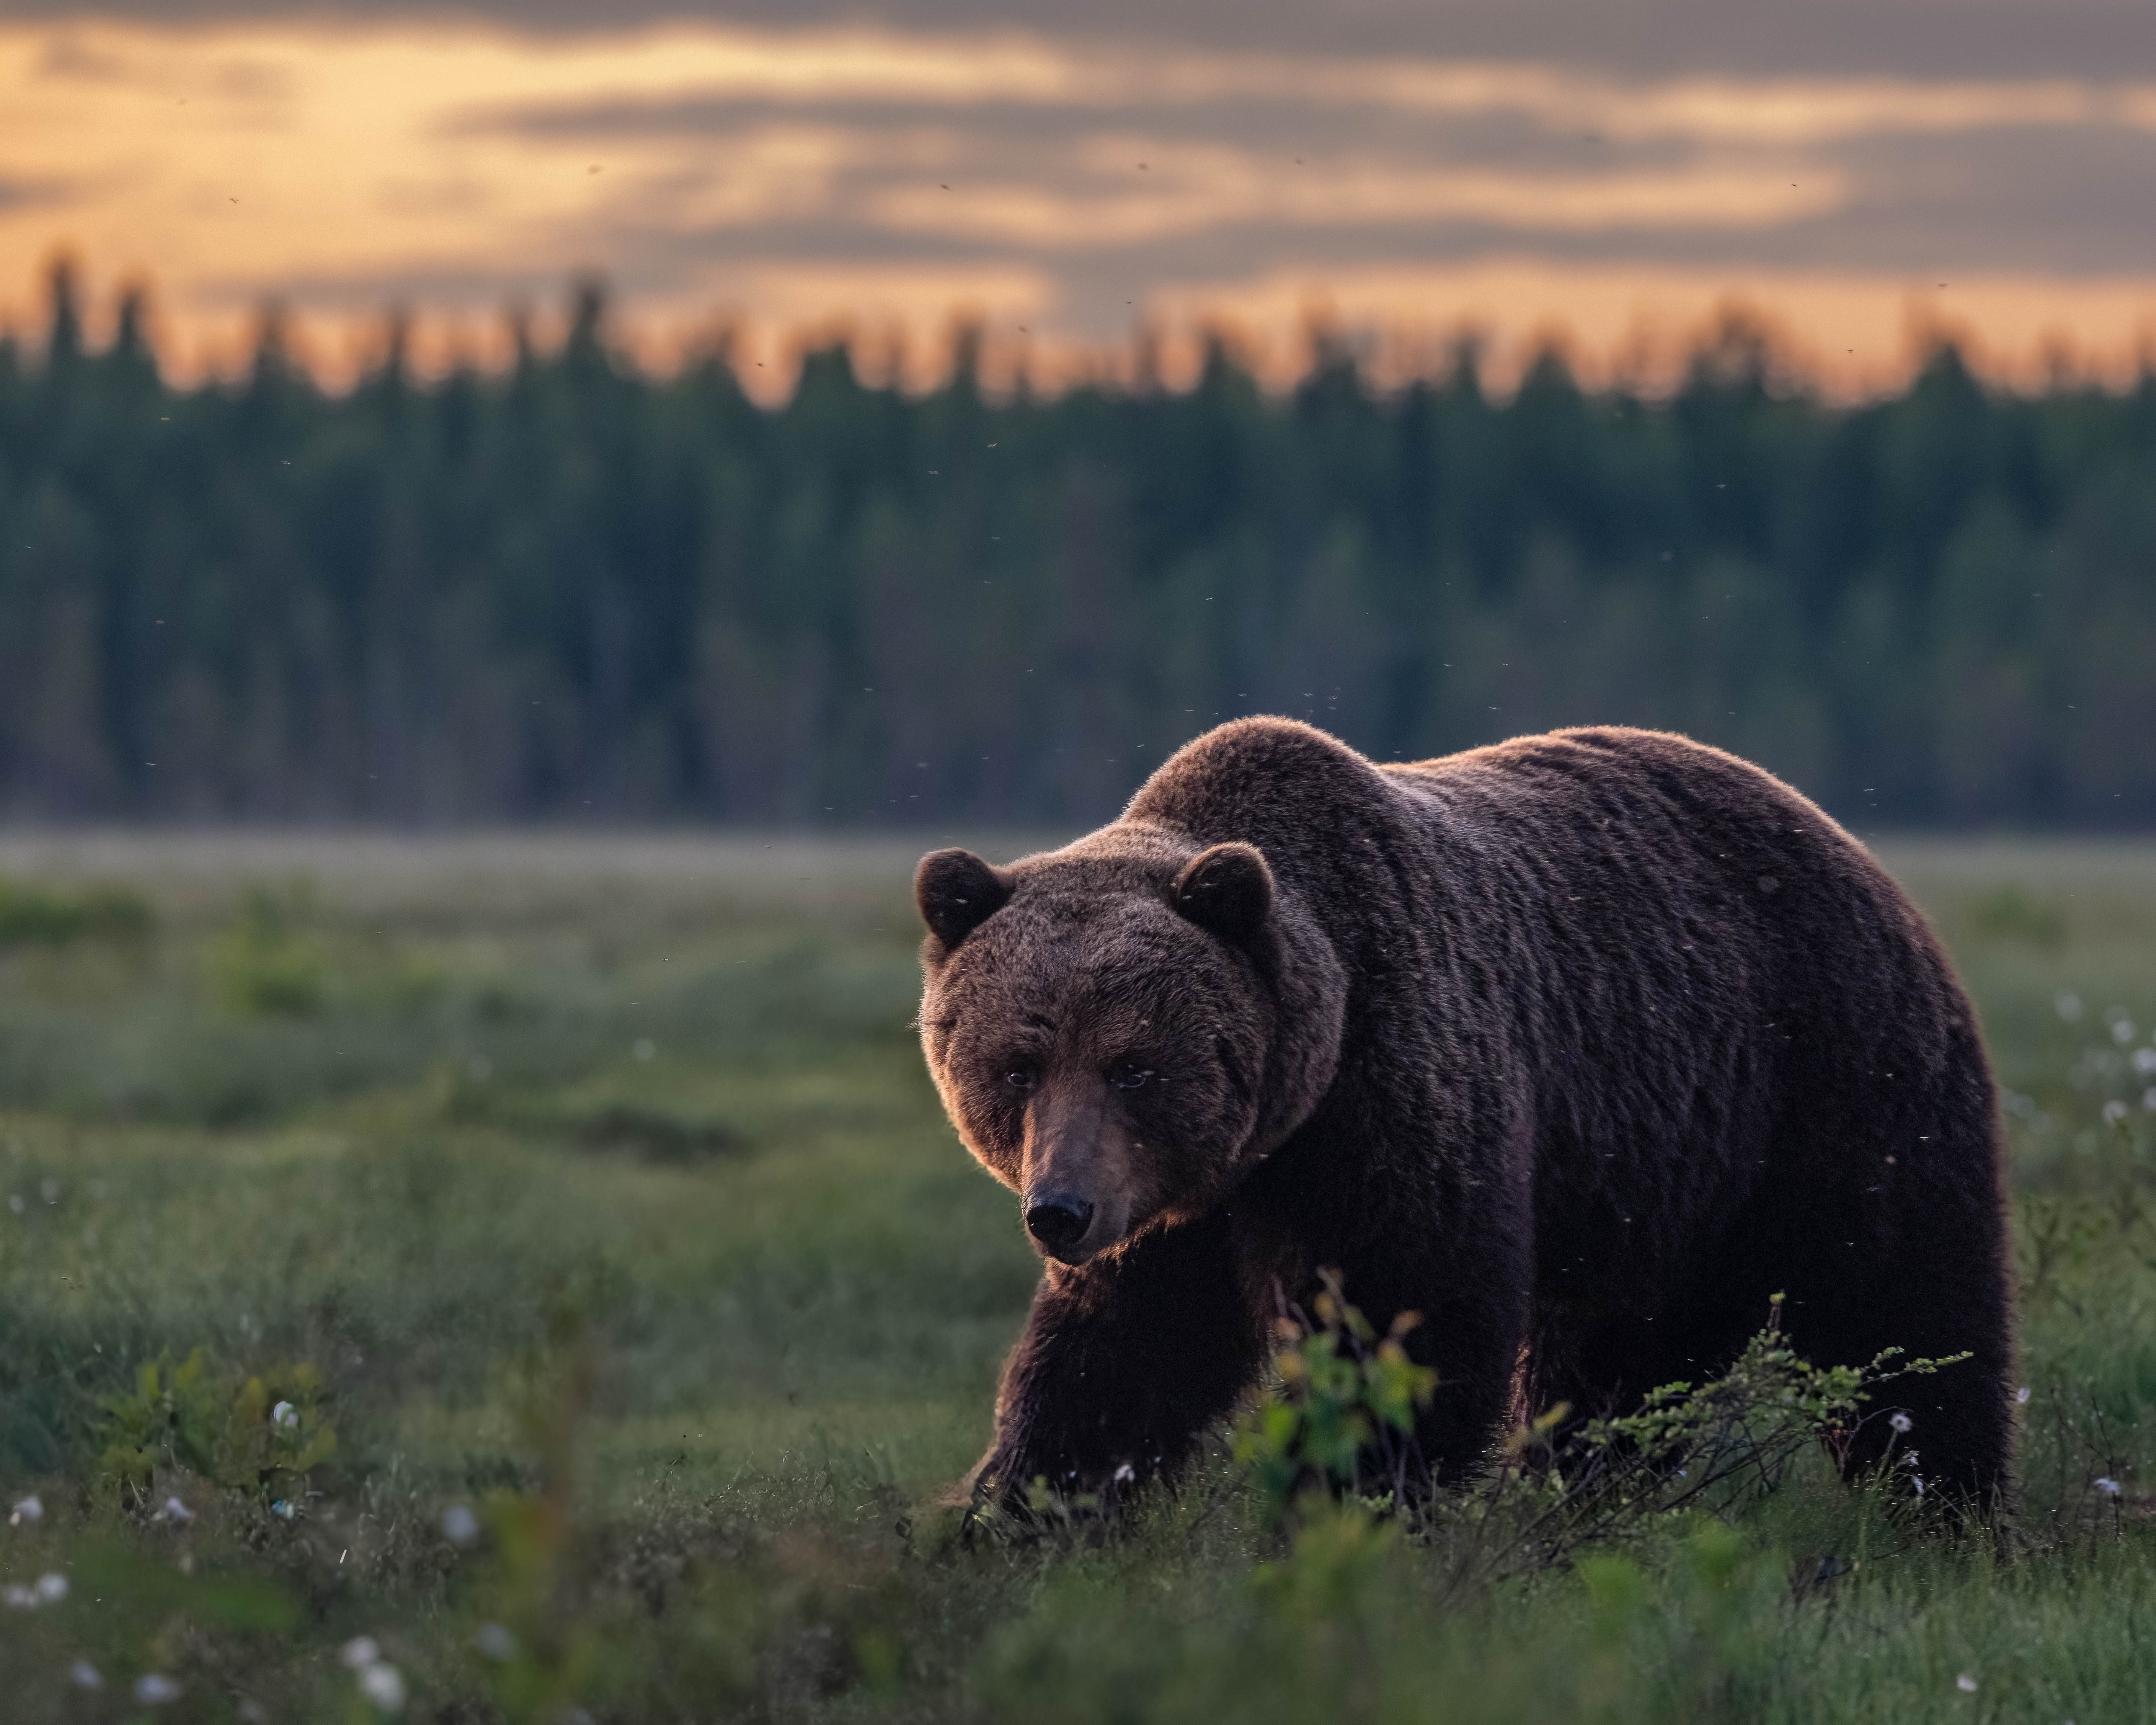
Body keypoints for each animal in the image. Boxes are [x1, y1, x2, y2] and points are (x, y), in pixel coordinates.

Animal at [914, 718, 2015, 1510]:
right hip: (1669, 1191)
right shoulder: (1176, 1214)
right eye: (1016, 1065)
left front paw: (1345, 1511)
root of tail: (1854, 847)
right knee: (1619, 1374)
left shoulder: (1387, 1112)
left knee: (1905, 1317)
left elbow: (1407, 1334)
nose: (1059, 1211)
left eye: (1134, 1065)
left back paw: (1943, 1513)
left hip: (1836, 1086)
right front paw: (1011, 1514)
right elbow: (1114, 1368)